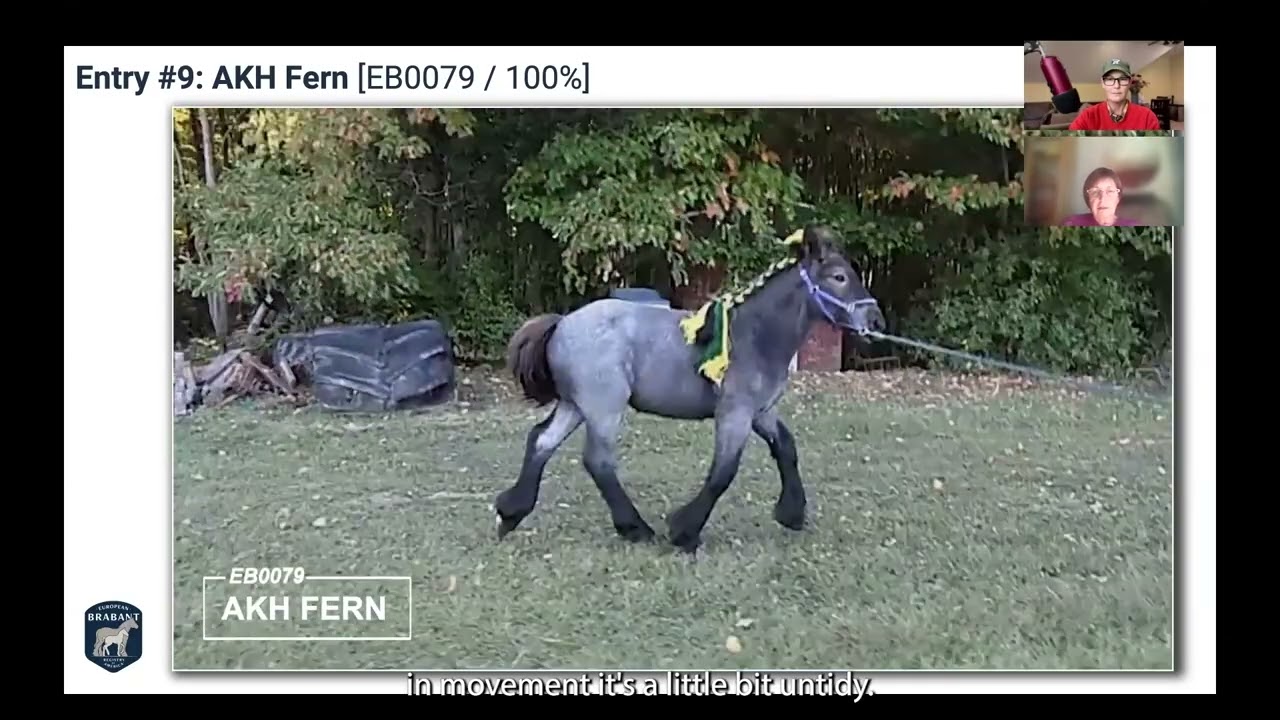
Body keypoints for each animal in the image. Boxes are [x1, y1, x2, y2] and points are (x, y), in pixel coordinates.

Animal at [495, 223, 886, 553]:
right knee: (598, 461)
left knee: (542, 442)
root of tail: (562, 324)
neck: (754, 334)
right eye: (838, 277)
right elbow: (723, 473)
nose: (876, 321)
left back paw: (511, 513)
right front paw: (685, 531)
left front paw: (792, 513)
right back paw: (636, 528)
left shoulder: (761, 412)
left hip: (576, 406)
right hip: (604, 408)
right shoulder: (735, 414)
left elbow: (786, 448)